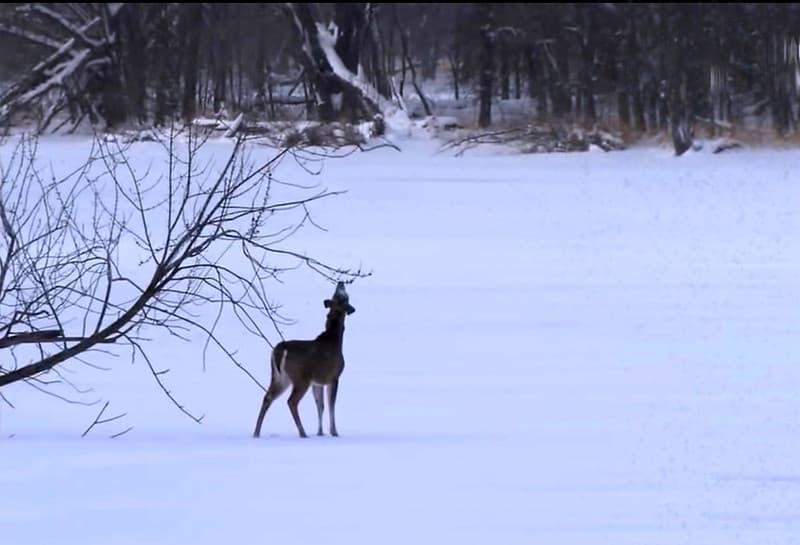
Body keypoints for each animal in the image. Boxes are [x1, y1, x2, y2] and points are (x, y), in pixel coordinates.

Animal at [253, 281, 355, 438]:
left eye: (335, 295)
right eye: (342, 297)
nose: (341, 282)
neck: (335, 340)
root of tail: (280, 349)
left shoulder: (318, 381)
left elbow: (320, 406)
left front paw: (320, 432)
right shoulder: (334, 376)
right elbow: (331, 406)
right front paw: (334, 432)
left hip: (280, 377)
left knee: (267, 397)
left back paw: (256, 433)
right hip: (300, 377)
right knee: (291, 401)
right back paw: (303, 433)